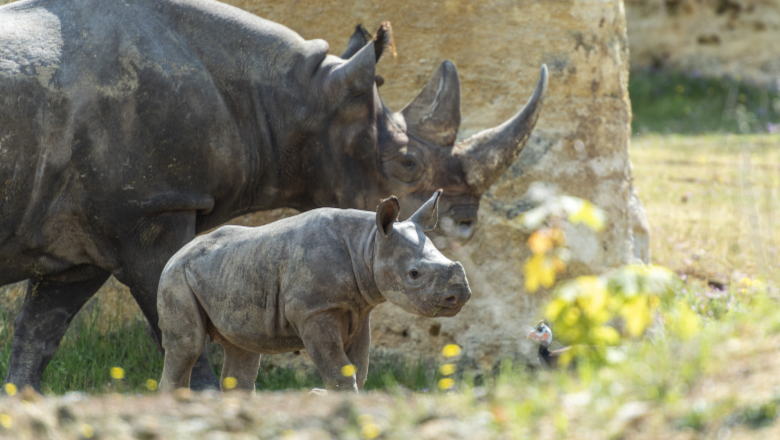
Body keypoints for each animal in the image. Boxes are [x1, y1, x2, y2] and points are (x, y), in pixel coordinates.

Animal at [155, 189, 466, 392]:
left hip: (230, 270)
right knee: (188, 345)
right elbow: (339, 369)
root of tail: (175, 254)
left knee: (242, 349)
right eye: (414, 274)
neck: (368, 243)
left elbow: (359, 369)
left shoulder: (359, 309)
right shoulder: (314, 311)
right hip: (176, 277)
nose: (461, 295)